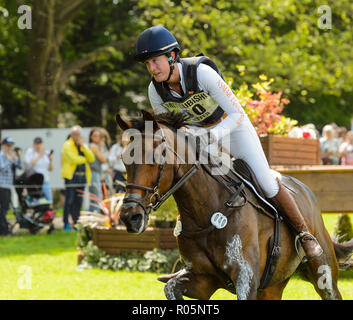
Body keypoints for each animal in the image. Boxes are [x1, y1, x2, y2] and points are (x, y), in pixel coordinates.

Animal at [116, 112, 352, 300]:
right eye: (125, 160)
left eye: (155, 158)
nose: (130, 217)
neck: (206, 211)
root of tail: (305, 190)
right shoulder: (203, 280)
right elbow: (171, 287)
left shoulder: (245, 280)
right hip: (272, 287)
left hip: (324, 276)